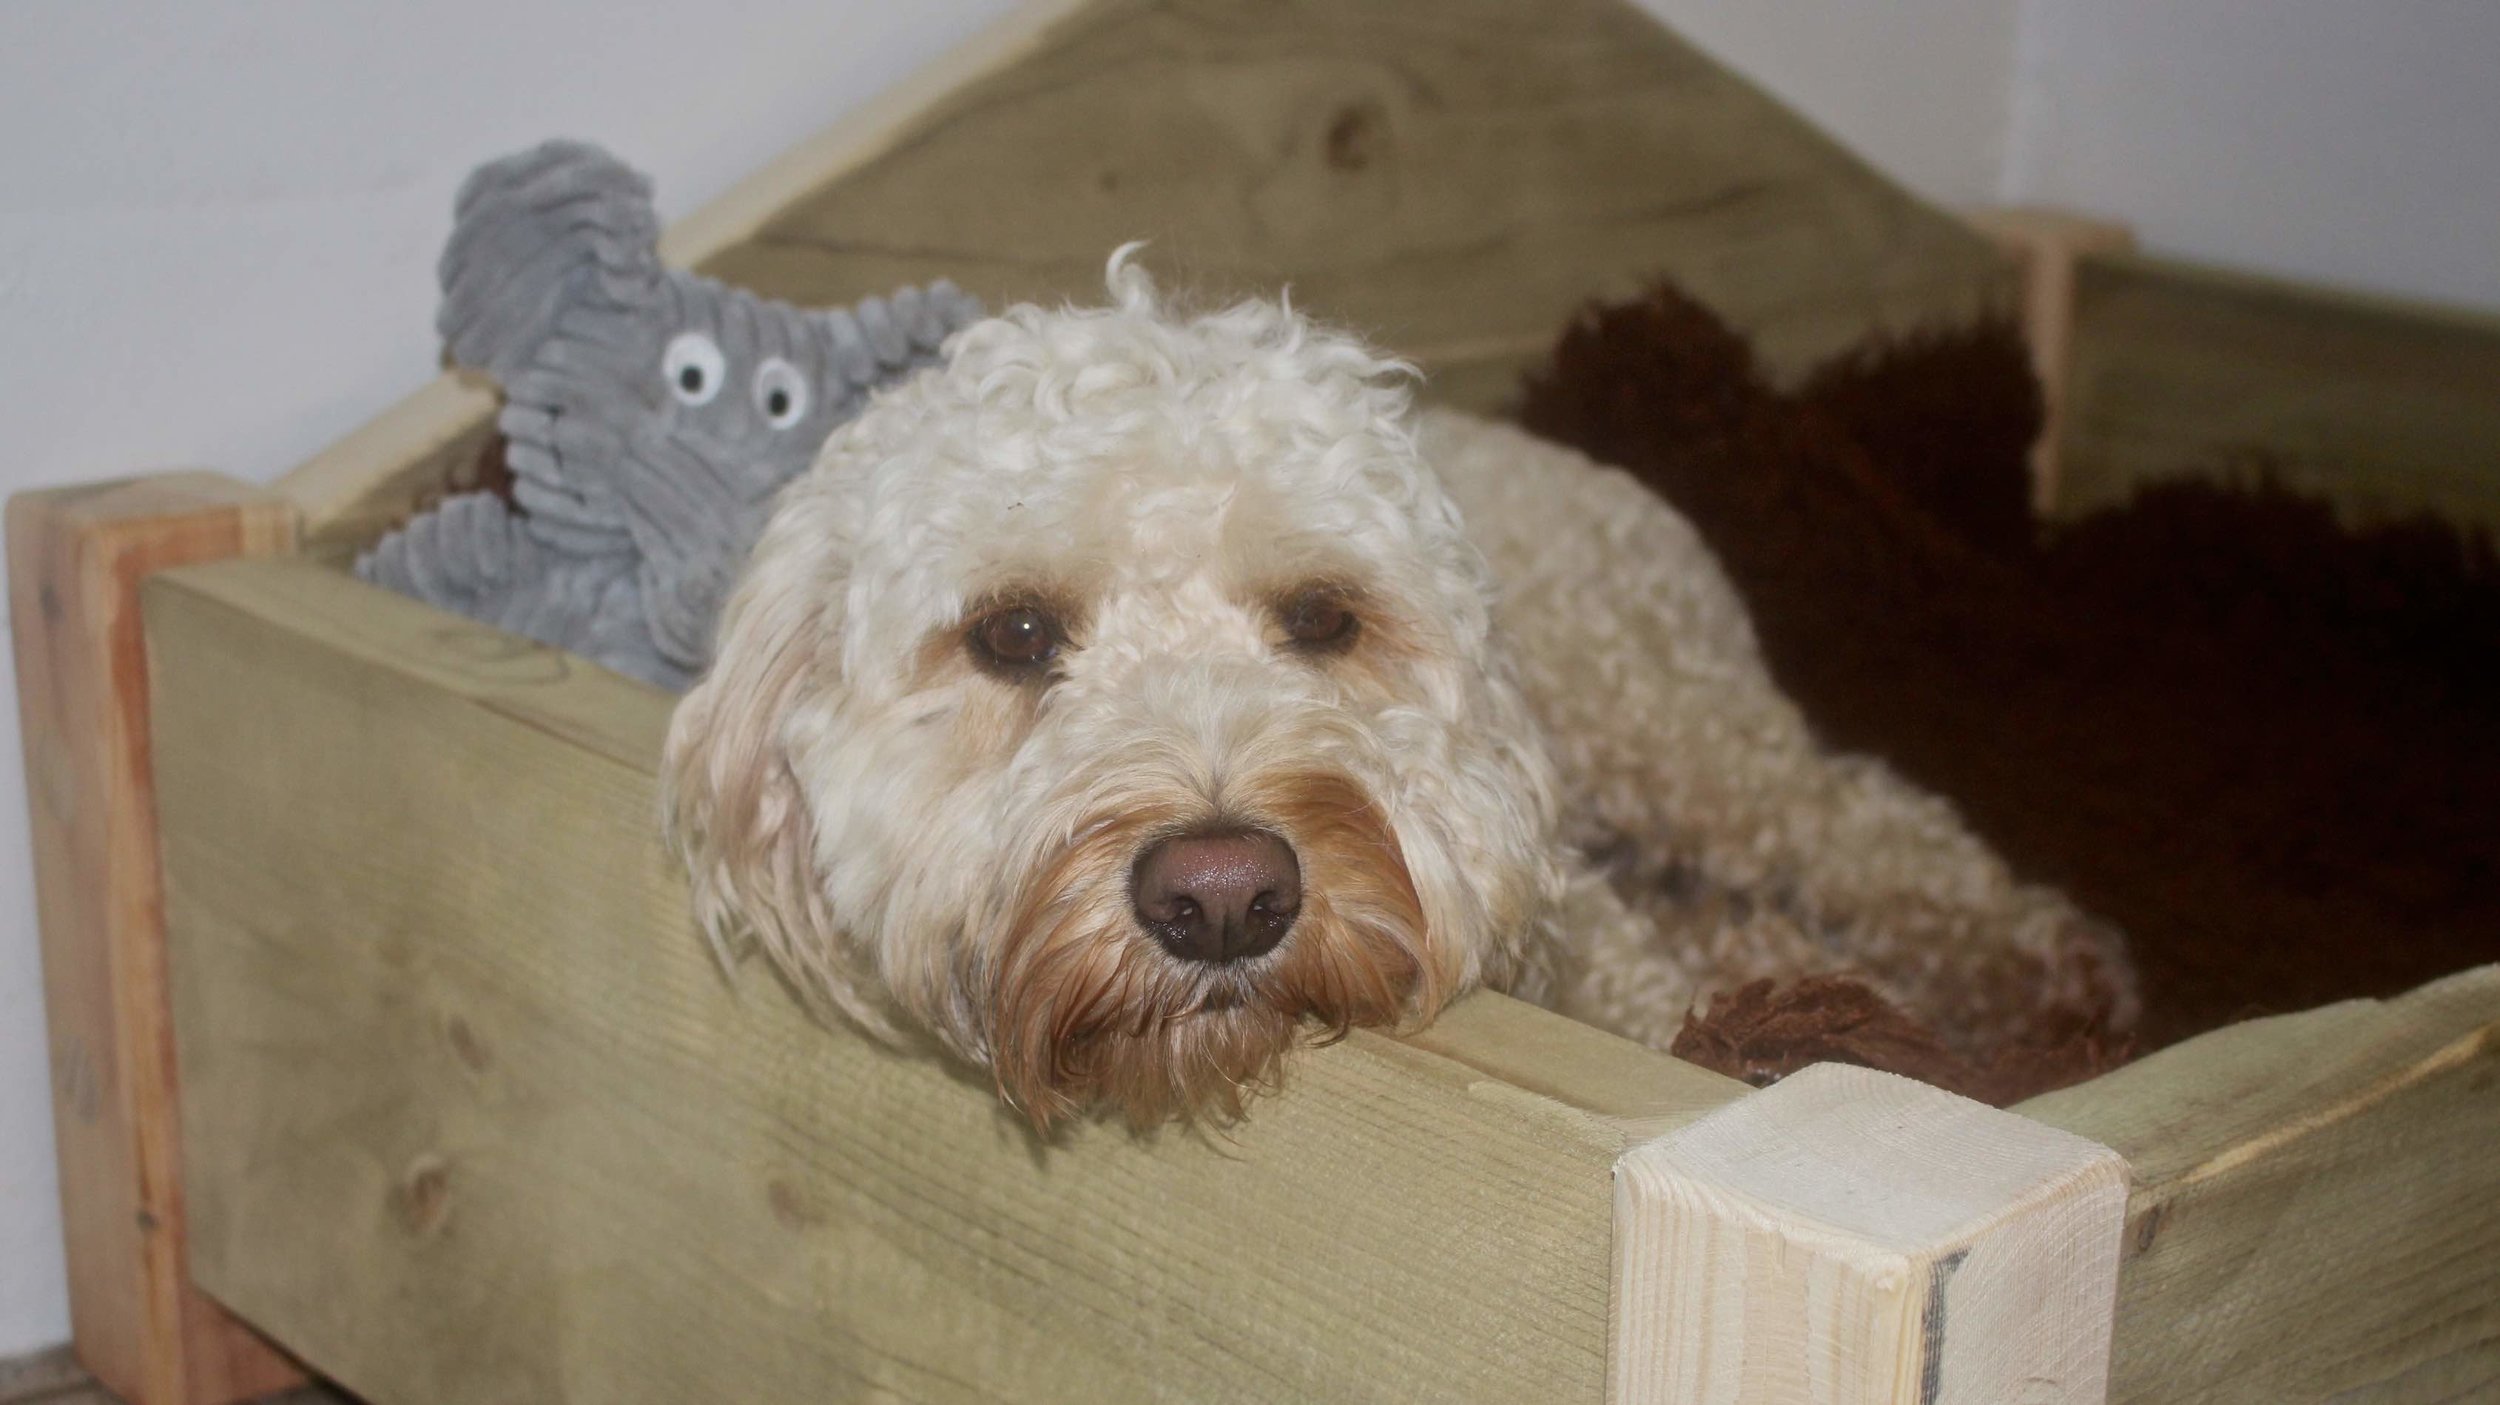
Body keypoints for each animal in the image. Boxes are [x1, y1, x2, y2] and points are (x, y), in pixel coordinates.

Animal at [660, 251, 2130, 1120]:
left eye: (1322, 617)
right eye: (1013, 633)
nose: (1223, 897)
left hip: (1686, 736)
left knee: (1883, 837)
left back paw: (2049, 984)